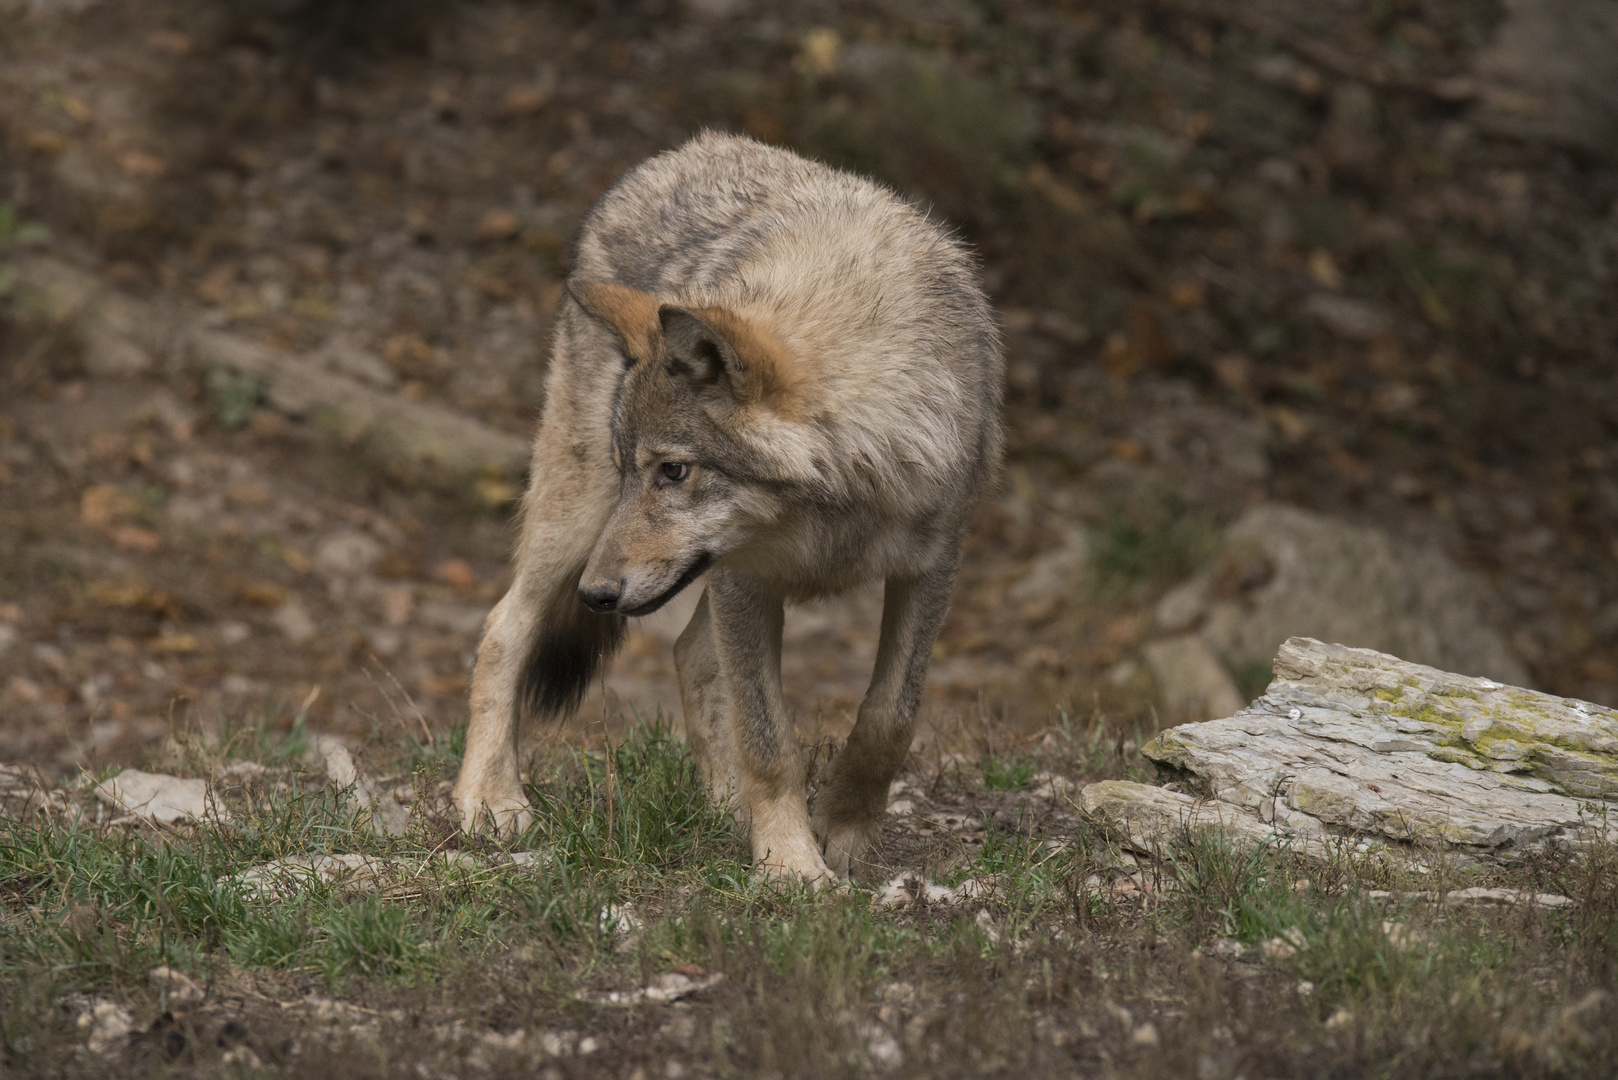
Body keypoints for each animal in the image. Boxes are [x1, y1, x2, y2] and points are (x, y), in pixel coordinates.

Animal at [456, 131, 1003, 880]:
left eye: (673, 471)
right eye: (636, 471)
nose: (597, 595)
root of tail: (679, 152)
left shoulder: (932, 566)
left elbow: (889, 716)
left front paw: (841, 829)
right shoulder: (747, 580)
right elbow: (768, 741)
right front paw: (791, 866)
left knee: (689, 654)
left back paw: (725, 809)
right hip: (577, 517)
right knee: (505, 624)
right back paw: (487, 798)